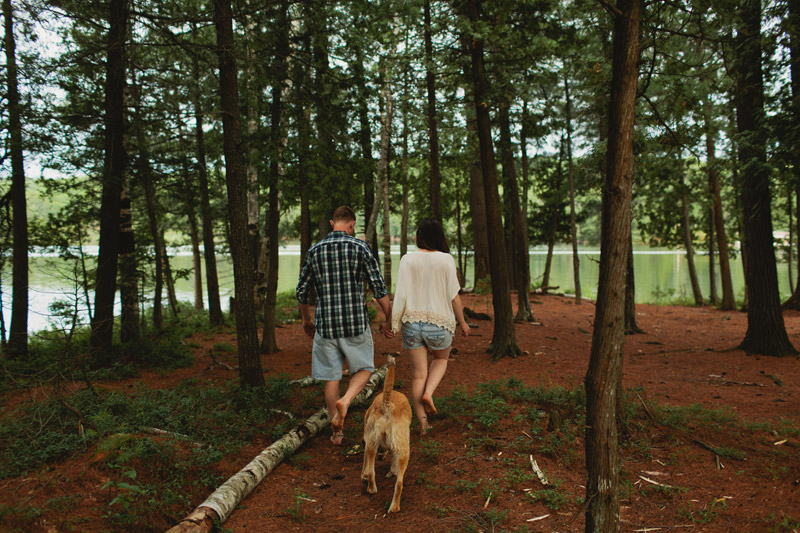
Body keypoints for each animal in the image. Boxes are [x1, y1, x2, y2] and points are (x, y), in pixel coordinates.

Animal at [362, 356, 412, 512]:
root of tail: (388, 406)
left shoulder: (367, 442)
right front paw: (392, 472)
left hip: (372, 444)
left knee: (372, 472)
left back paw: (371, 489)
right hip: (403, 450)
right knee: (399, 484)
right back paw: (394, 507)